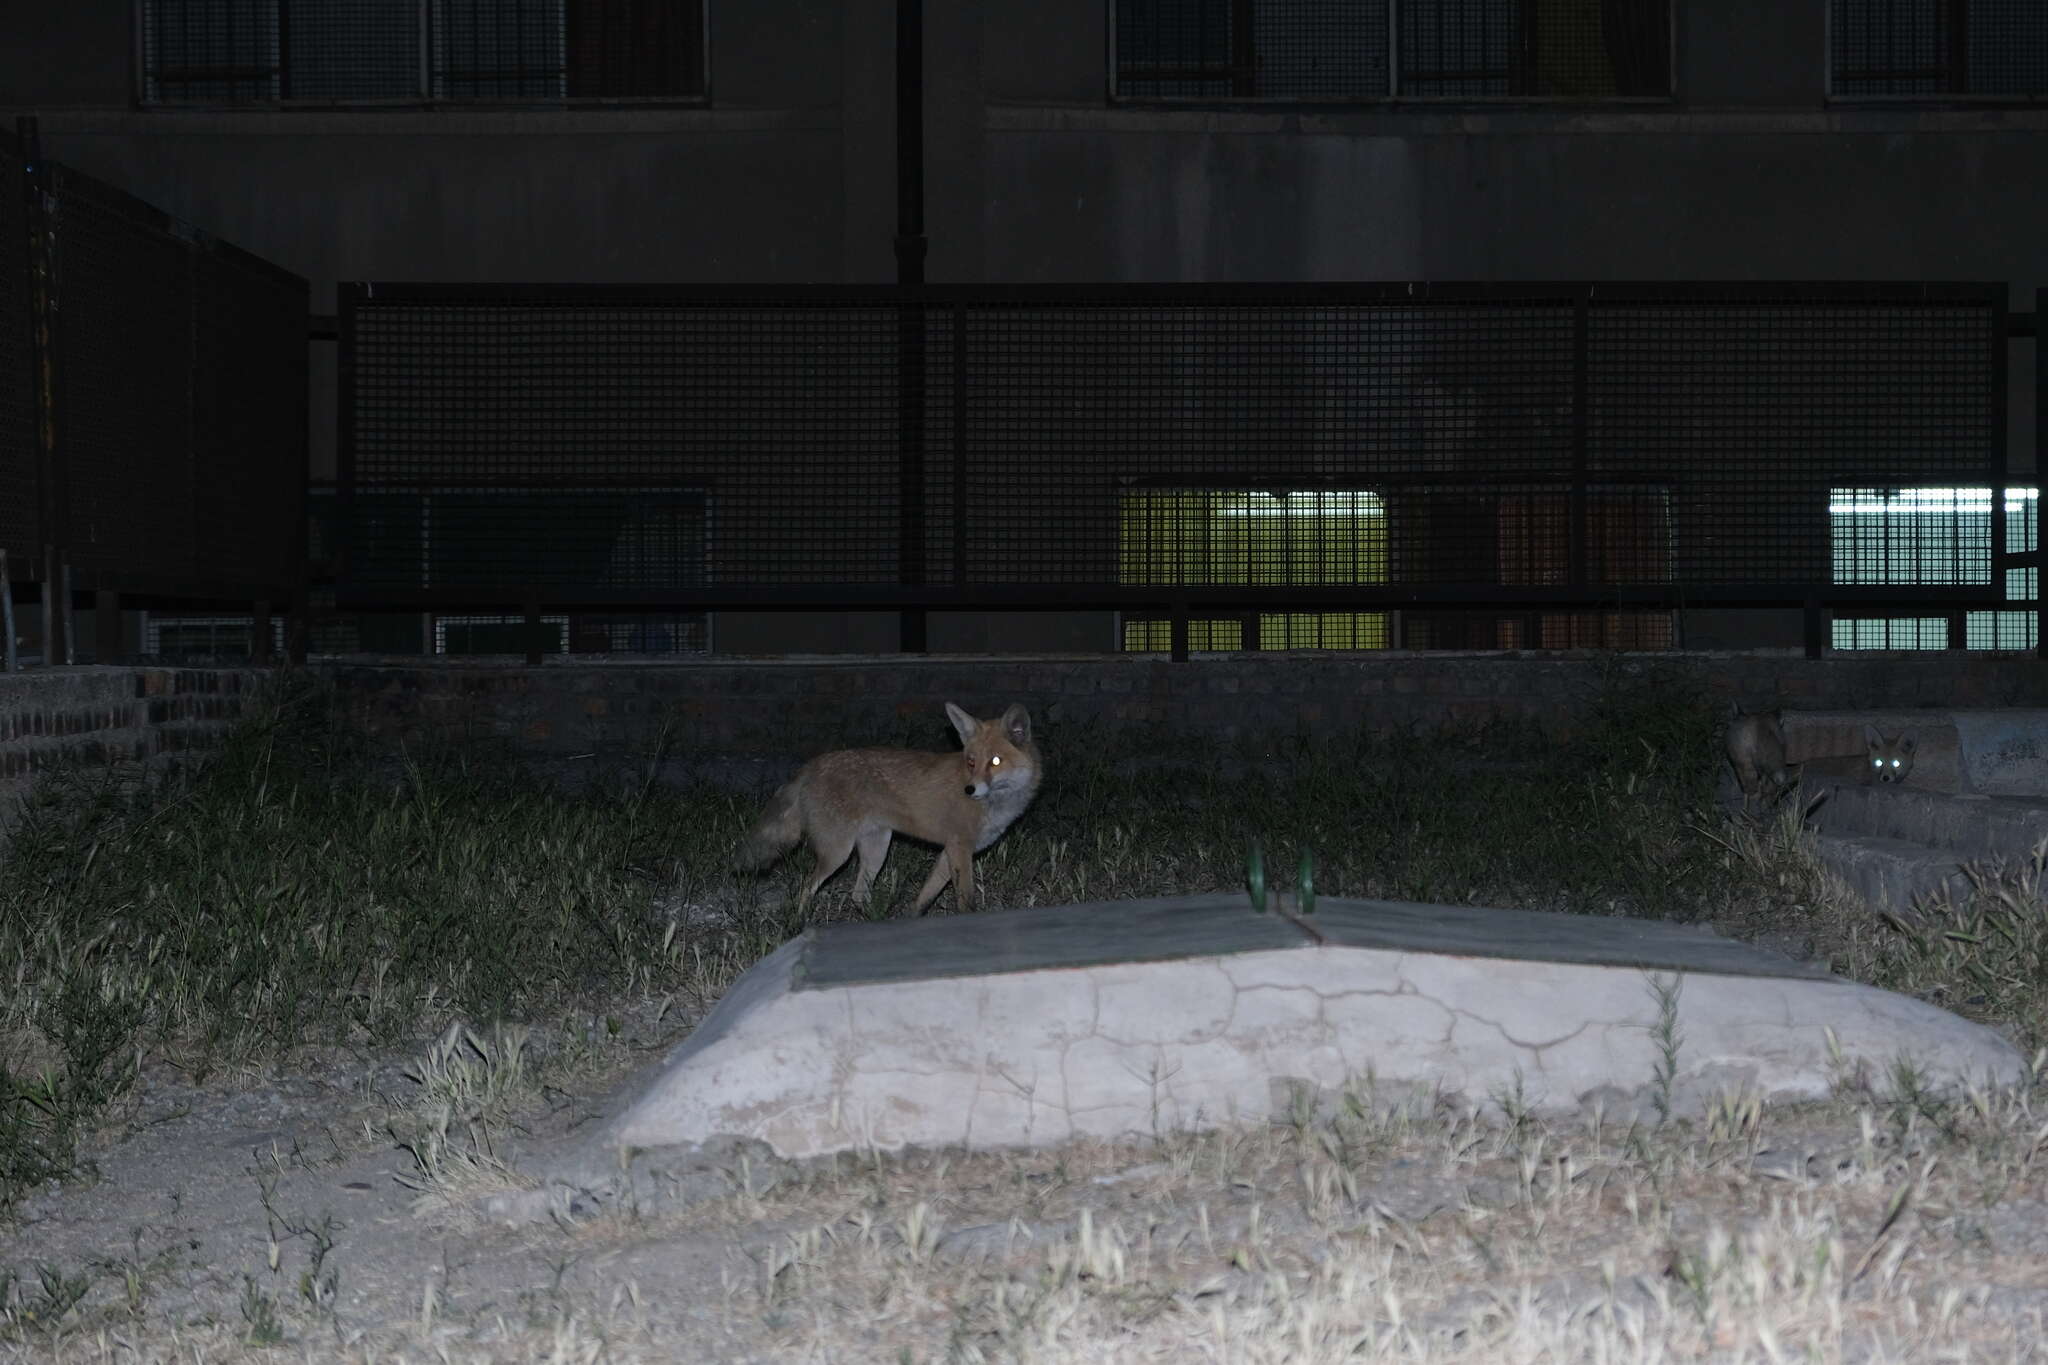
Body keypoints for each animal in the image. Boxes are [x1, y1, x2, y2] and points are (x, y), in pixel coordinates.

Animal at [733, 703, 1040, 916]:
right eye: (972, 761)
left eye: (996, 762)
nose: (970, 790)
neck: (996, 806)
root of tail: (811, 765)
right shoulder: (960, 849)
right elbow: (966, 901)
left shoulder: (950, 852)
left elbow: (924, 898)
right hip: (838, 853)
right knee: (806, 889)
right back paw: (799, 922)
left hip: (877, 849)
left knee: (857, 895)